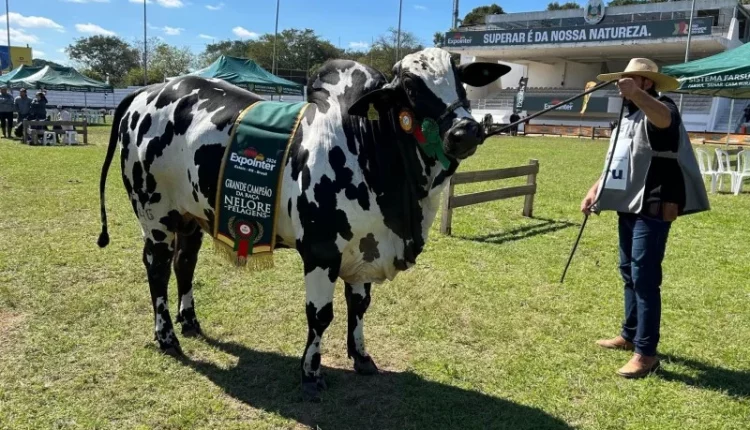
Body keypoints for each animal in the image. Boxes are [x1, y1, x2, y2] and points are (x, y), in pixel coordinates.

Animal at [95, 47, 512, 400]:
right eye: (411, 87)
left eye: (461, 80)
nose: (466, 132)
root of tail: (148, 91)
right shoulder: (321, 251)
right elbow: (320, 315)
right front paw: (311, 373)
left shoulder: (364, 247)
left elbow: (359, 305)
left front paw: (361, 357)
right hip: (155, 217)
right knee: (158, 269)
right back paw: (167, 337)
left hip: (191, 216)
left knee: (185, 264)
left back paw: (190, 323)